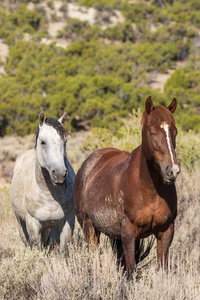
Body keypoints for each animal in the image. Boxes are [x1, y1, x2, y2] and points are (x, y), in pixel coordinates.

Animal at [9, 111, 75, 252]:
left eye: (65, 141)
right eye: (43, 142)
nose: (60, 174)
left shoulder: (67, 223)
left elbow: (63, 251)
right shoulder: (33, 226)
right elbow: (37, 249)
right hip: (21, 223)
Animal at [74, 96, 180, 274]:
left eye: (175, 132)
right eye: (152, 132)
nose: (172, 170)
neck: (150, 189)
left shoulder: (165, 232)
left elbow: (162, 270)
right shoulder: (128, 234)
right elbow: (131, 272)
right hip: (89, 228)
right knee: (94, 259)